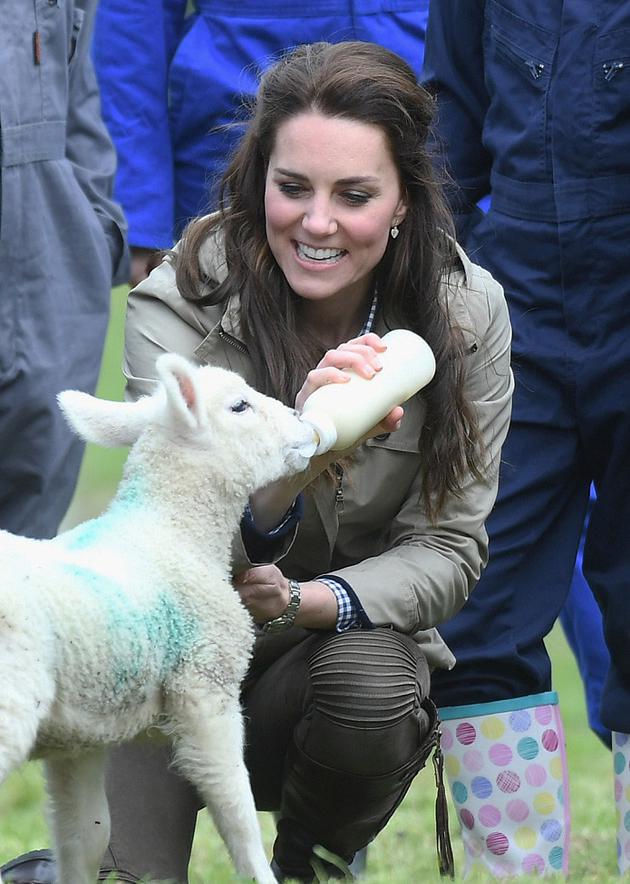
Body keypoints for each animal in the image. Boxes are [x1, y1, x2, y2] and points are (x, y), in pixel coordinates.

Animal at [0, 356, 316, 884]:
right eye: (240, 406)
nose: (304, 423)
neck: (172, 530)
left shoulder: (80, 735)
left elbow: (87, 834)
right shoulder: (205, 687)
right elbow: (236, 808)